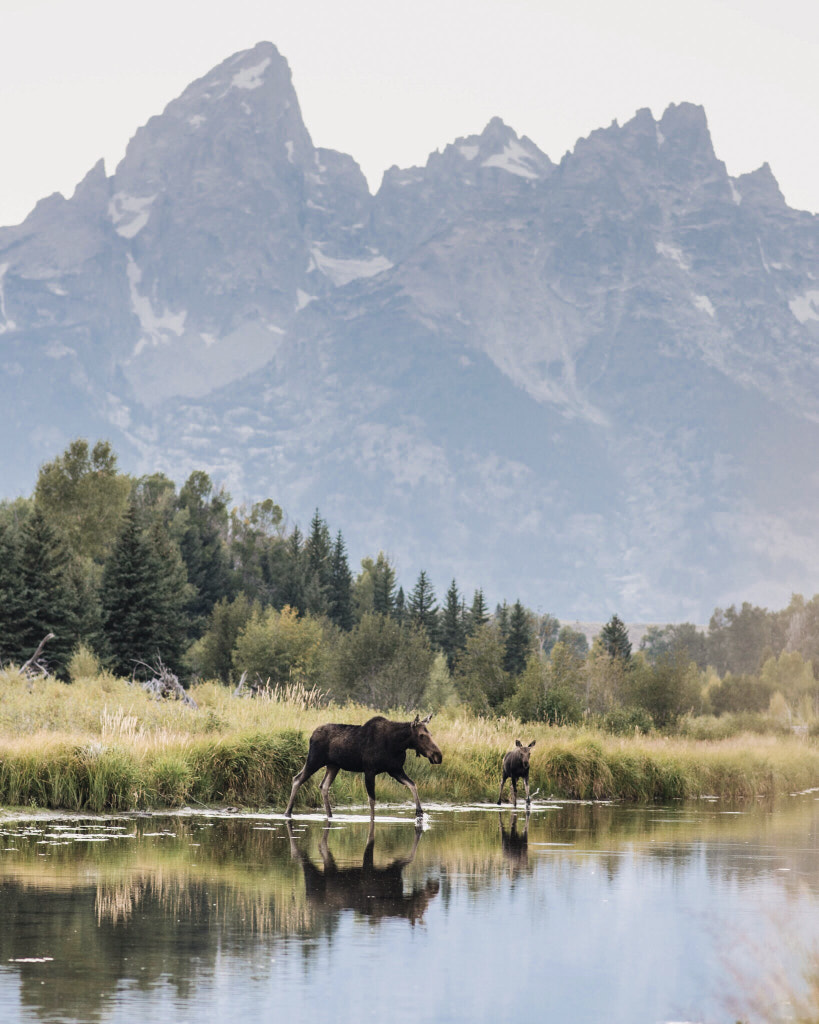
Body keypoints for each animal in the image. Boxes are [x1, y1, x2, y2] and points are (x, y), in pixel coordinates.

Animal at [284, 716, 444, 819]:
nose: (438, 756)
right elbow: (372, 800)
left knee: (323, 785)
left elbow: (412, 784)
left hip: (333, 766)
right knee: (297, 779)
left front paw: (419, 812)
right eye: (422, 735)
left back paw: (330, 815)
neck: (397, 745)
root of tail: (311, 735)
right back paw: (288, 812)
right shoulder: (370, 770)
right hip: (314, 760)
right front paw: (372, 820)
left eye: (430, 733)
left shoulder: (395, 770)